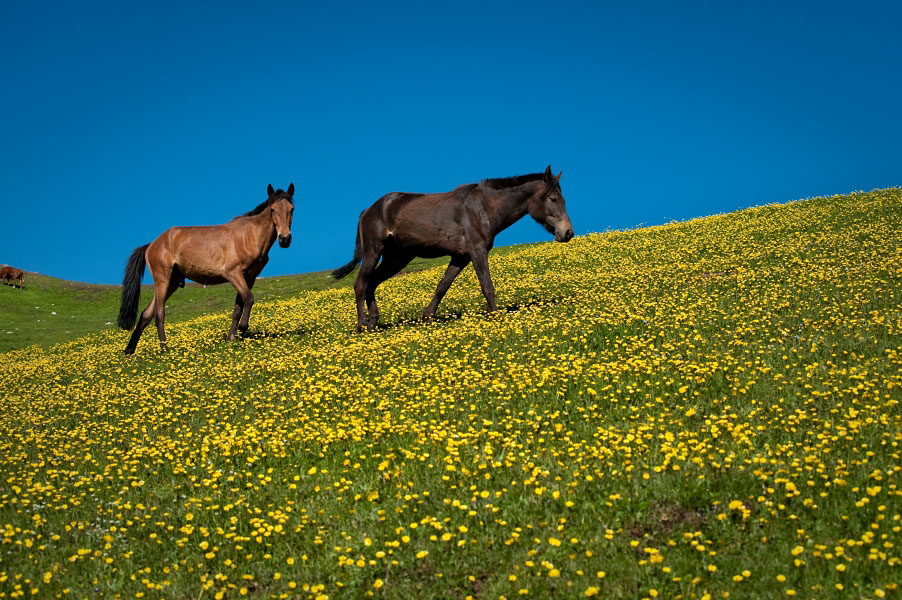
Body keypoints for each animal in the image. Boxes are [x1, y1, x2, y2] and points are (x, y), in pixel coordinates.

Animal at [117, 184, 295, 355]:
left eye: (291, 209)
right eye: (273, 209)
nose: (285, 239)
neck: (249, 235)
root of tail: (151, 245)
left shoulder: (249, 277)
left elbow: (238, 307)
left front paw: (232, 337)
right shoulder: (233, 273)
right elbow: (249, 299)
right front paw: (242, 329)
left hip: (172, 283)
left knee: (146, 314)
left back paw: (129, 350)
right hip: (162, 280)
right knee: (158, 314)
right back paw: (164, 349)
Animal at [332, 166, 573, 331]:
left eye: (563, 199)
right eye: (553, 199)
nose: (568, 233)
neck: (483, 209)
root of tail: (368, 210)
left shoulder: (460, 257)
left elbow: (442, 286)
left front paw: (428, 317)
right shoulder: (477, 252)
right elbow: (487, 286)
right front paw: (495, 316)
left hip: (397, 258)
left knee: (372, 283)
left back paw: (373, 322)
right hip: (373, 252)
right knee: (361, 284)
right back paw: (362, 325)